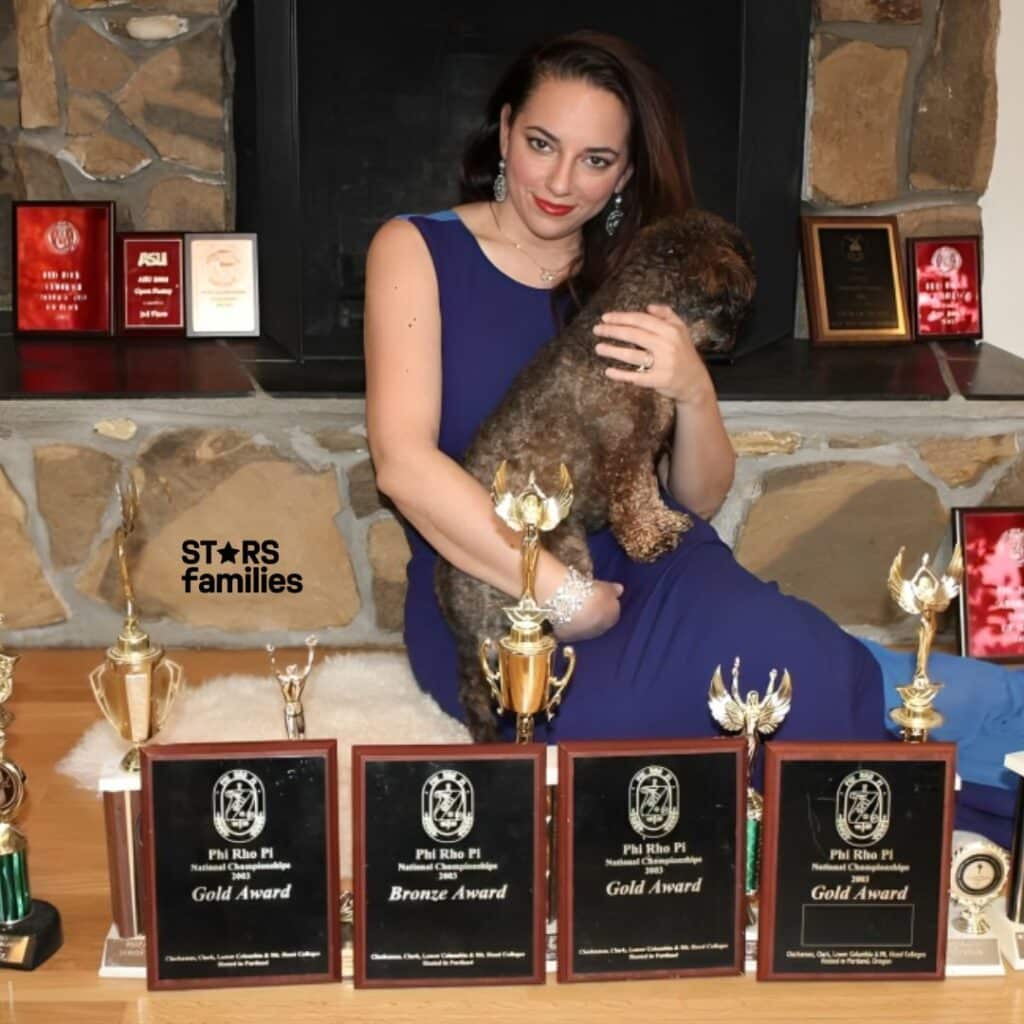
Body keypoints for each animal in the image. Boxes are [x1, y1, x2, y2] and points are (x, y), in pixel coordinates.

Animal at [436, 209, 757, 737]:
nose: (733, 339)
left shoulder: (645, 449)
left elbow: (649, 494)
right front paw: (650, 539)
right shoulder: (624, 451)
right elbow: (633, 502)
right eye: (729, 302)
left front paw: (663, 522)